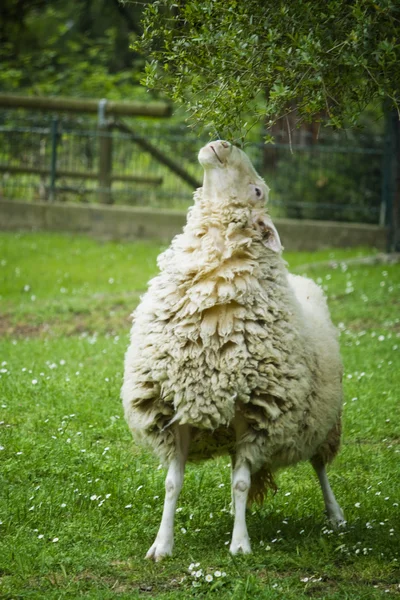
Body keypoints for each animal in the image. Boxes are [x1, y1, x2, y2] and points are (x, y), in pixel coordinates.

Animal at [121, 138, 344, 560]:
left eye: (258, 191)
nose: (223, 143)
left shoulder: (255, 412)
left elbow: (241, 483)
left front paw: (240, 545)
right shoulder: (178, 408)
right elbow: (173, 484)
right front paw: (162, 544)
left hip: (323, 418)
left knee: (320, 466)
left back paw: (335, 513)